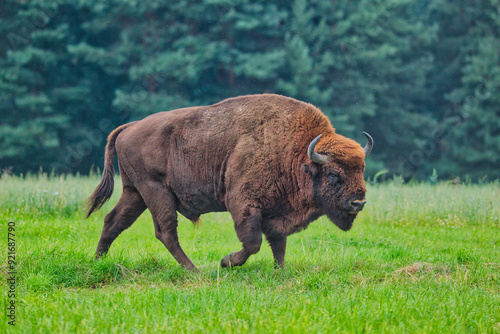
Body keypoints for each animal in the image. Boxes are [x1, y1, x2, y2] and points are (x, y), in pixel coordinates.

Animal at [88, 94, 374, 272]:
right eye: (333, 174)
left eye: (362, 169)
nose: (358, 203)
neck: (297, 152)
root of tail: (129, 126)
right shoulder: (244, 204)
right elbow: (253, 242)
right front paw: (226, 262)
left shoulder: (277, 213)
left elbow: (278, 244)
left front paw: (280, 271)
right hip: (156, 192)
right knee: (166, 231)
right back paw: (194, 271)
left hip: (134, 192)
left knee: (114, 221)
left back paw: (98, 260)